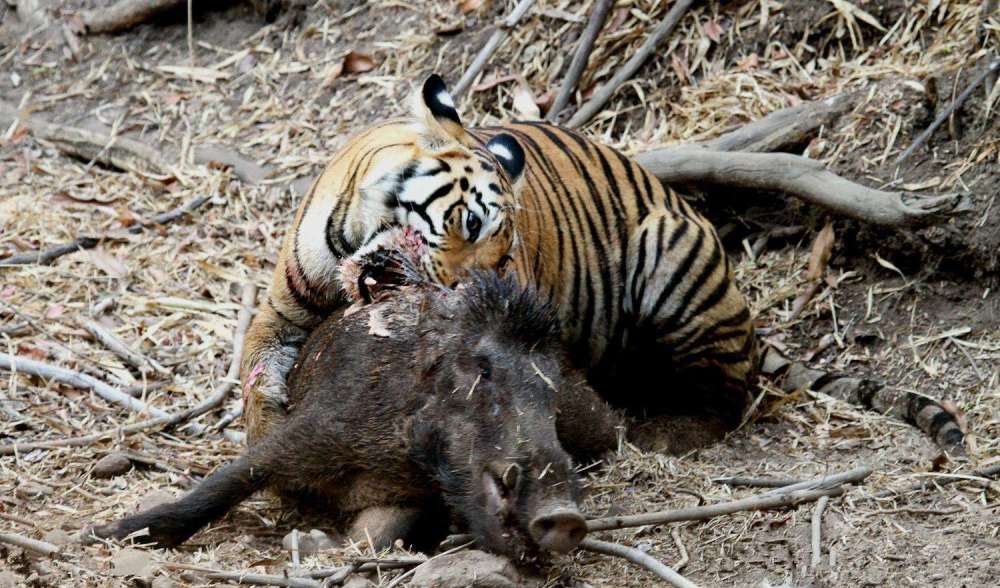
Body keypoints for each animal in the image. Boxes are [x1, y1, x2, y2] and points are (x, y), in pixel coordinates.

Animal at [240, 74, 964, 454]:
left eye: (505, 256)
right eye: (470, 224)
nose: (464, 293)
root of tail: (747, 318)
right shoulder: (278, 314)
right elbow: (253, 376)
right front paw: (265, 438)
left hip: (669, 254)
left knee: (731, 398)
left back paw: (661, 432)